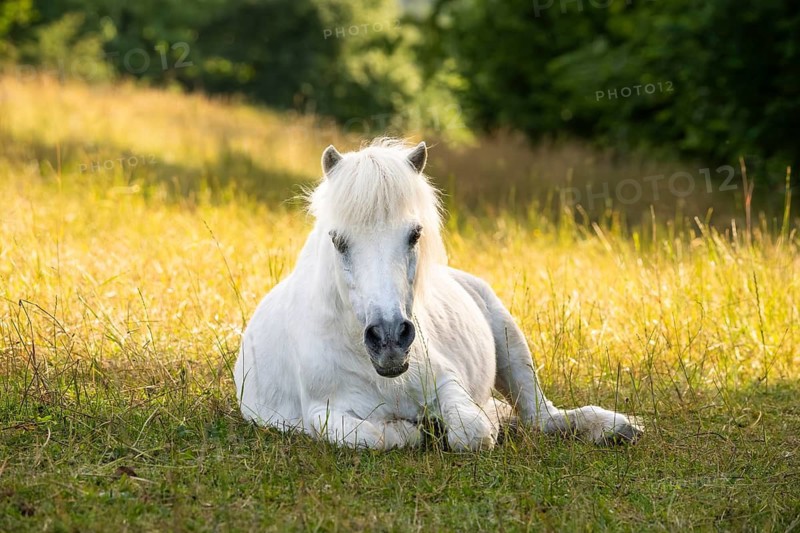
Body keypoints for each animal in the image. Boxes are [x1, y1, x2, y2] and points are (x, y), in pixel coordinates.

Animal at [234, 138, 643, 451]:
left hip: (509, 339)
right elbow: (372, 436)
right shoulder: (322, 411)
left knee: (542, 416)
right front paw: (411, 429)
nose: (389, 339)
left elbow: (472, 431)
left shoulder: (447, 381)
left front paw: (473, 420)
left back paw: (614, 427)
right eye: (338, 241)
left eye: (414, 234)